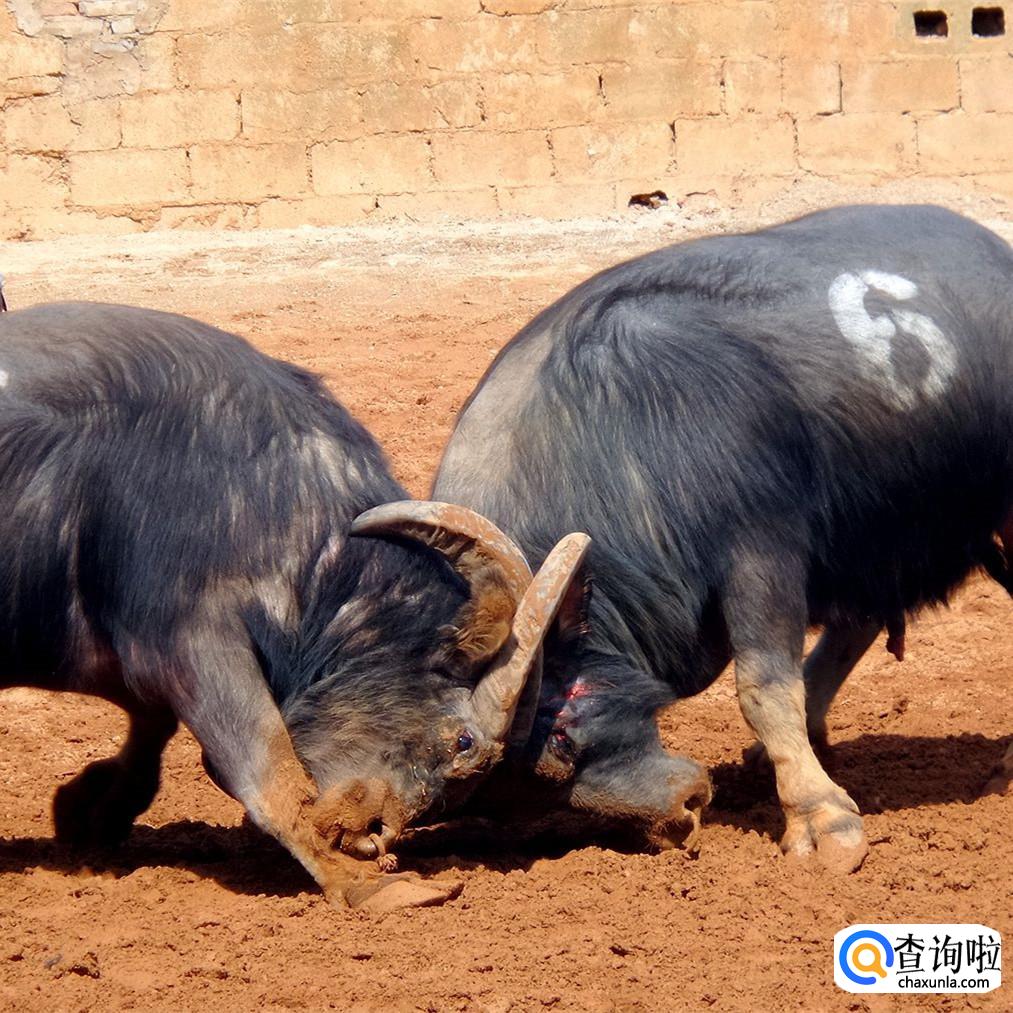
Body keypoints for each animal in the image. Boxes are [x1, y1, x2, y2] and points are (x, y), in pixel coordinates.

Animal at [0, 299, 587, 911]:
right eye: (462, 741)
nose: (372, 835)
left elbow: (151, 728)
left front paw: (89, 813)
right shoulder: (192, 642)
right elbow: (267, 769)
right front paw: (371, 885)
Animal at [435, 203, 1013, 871]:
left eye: (561, 738)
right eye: (521, 802)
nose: (680, 813)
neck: (611, 431)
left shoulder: (760, 550)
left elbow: (763, 687)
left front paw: (822, 819)